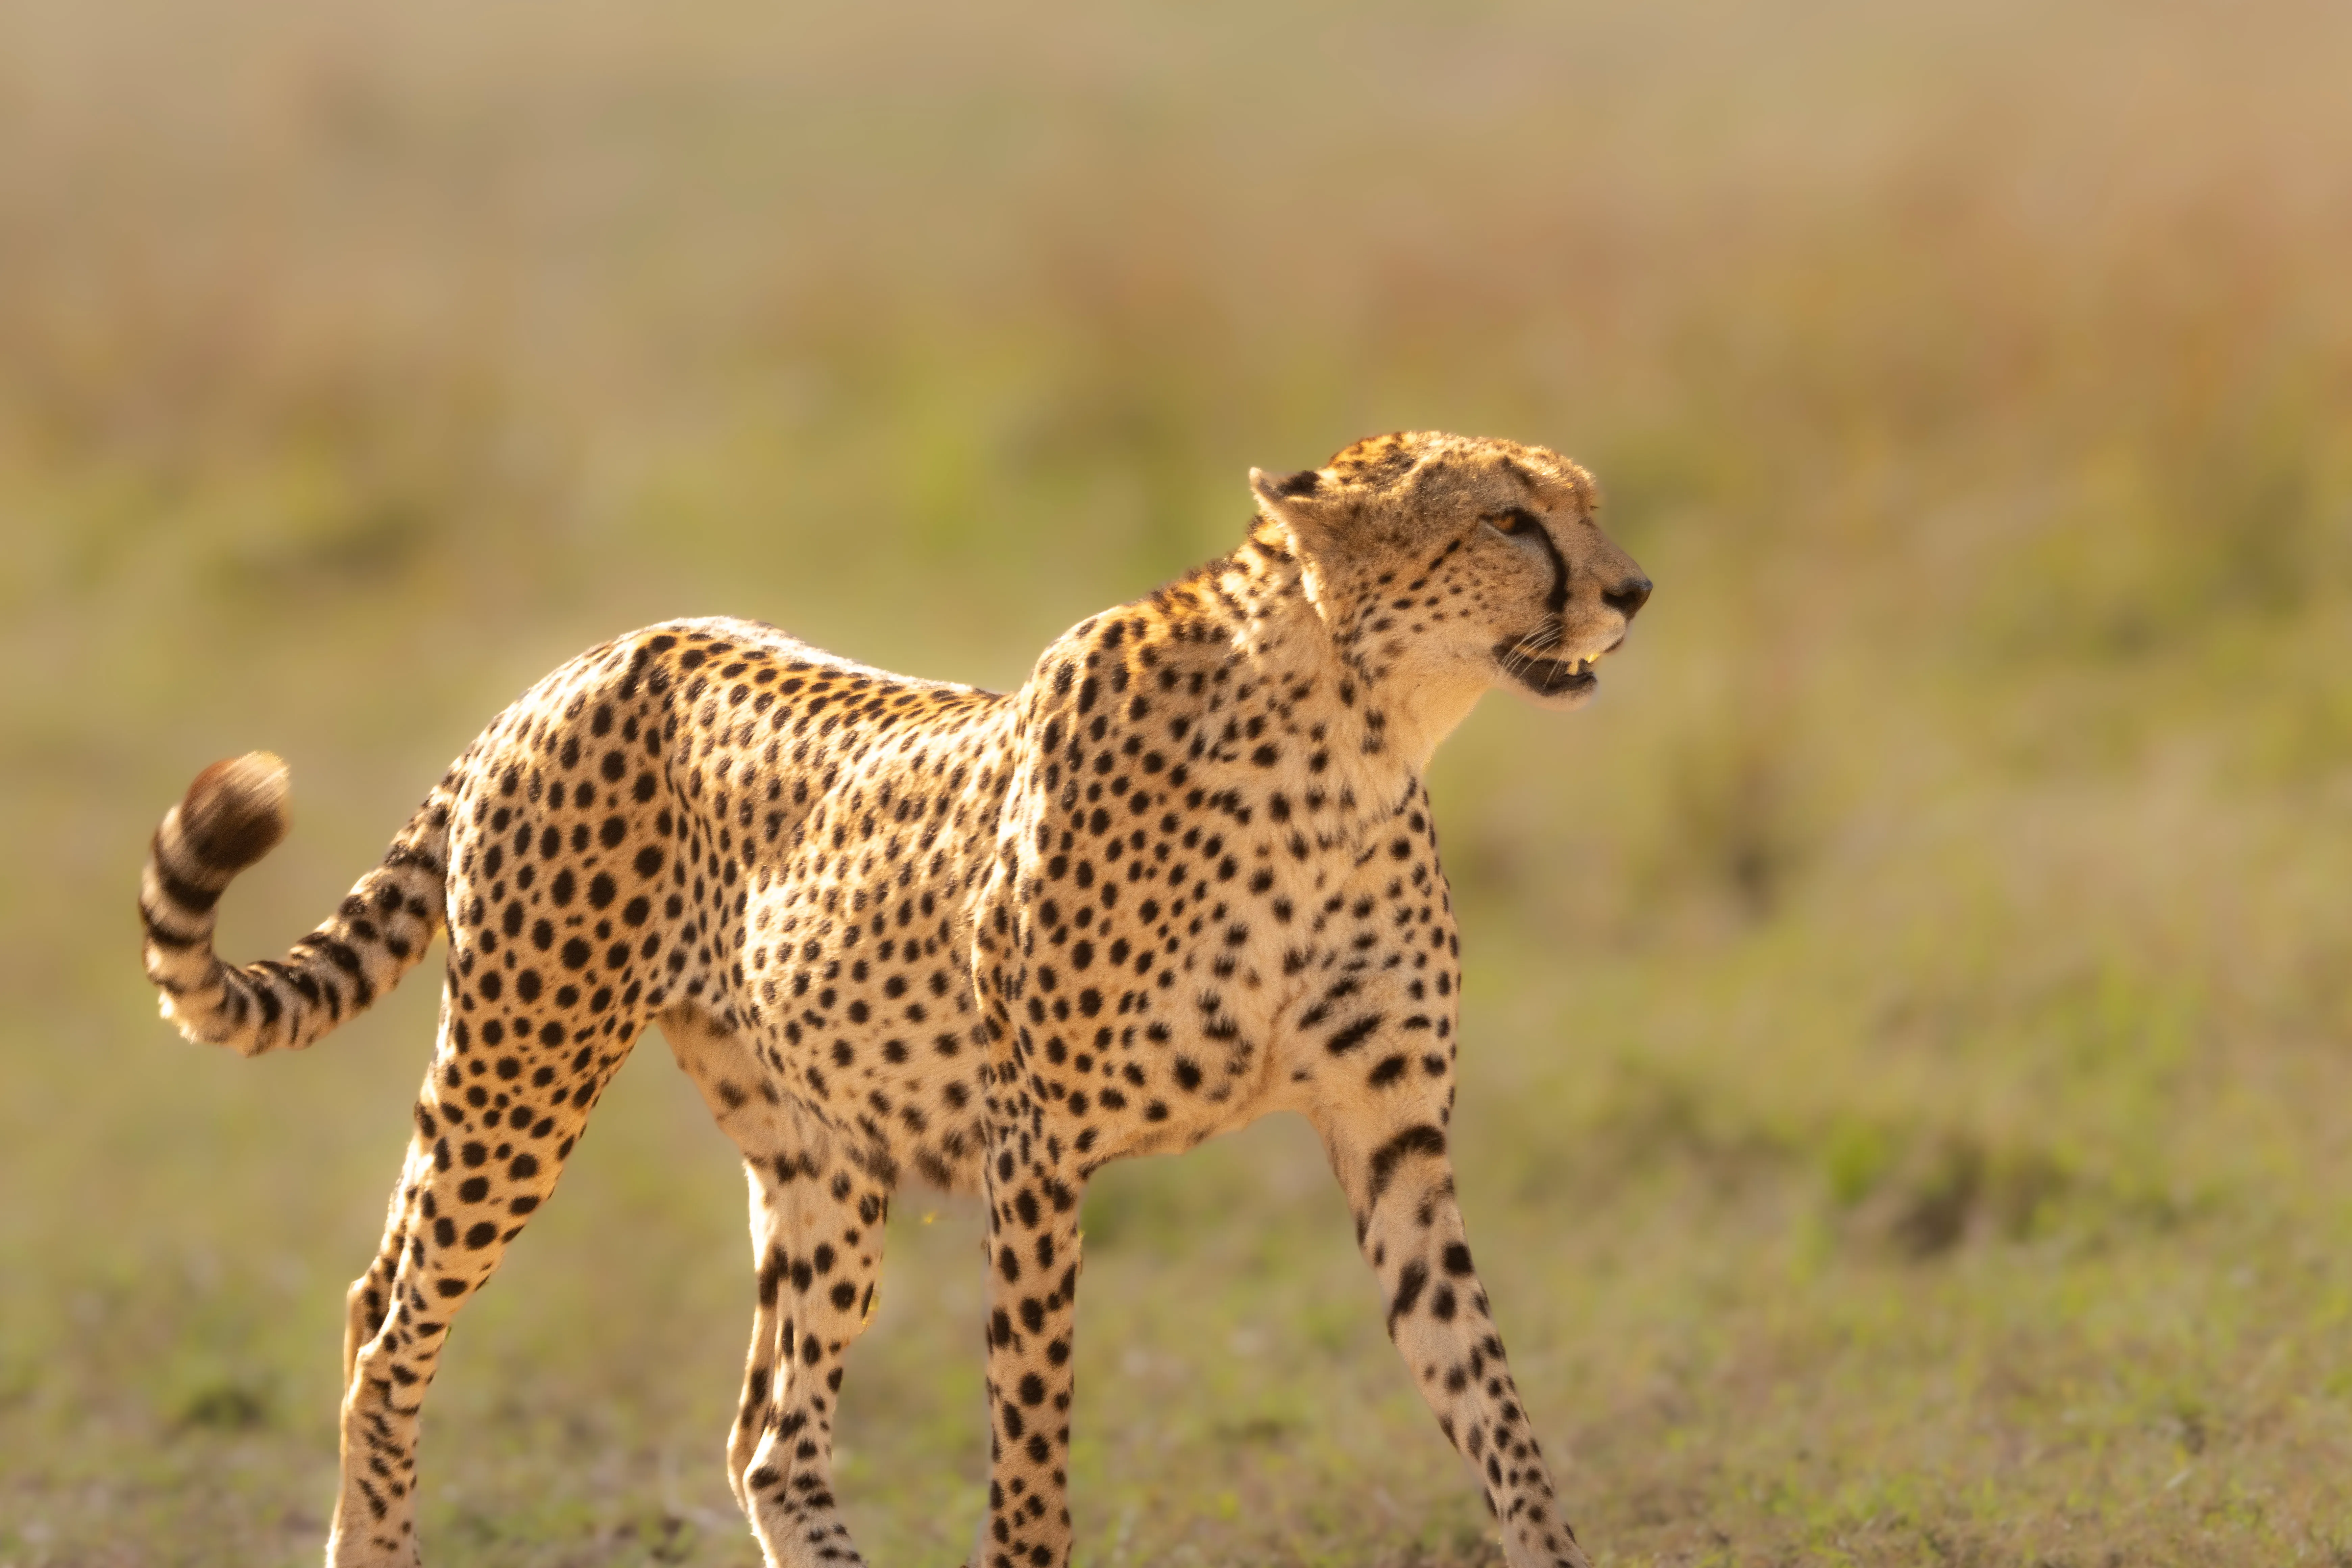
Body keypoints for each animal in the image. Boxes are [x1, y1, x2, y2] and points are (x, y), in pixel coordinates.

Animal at [138, 429, 1651, 1568]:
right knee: (391, 1320)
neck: (1349, 745)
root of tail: (599, 654)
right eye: (1512, 518)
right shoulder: (1037, 1149)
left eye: (1586, 503)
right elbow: (1031, 1436)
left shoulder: (1394, 1138)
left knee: (766, 1437)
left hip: (819, 1163)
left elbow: (1491, 1403)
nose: (1634, 589)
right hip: (524, 1064)